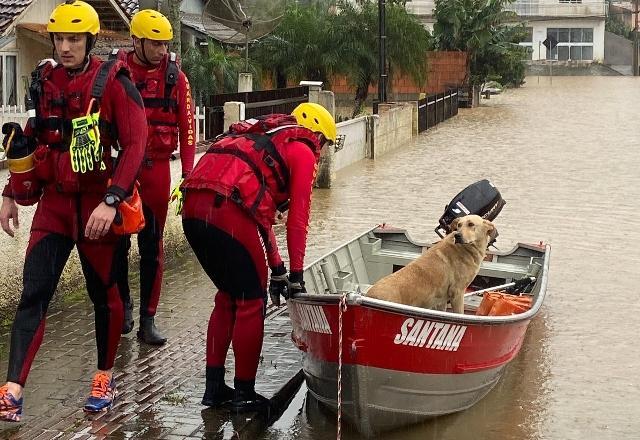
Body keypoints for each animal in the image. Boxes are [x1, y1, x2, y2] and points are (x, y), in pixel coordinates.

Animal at [364, 214, 496, 312]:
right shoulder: (457, 293)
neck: (466, 249)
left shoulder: (442, 300)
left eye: (471, 224)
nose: (458, 235)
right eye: (459, 225)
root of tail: (369, 295)